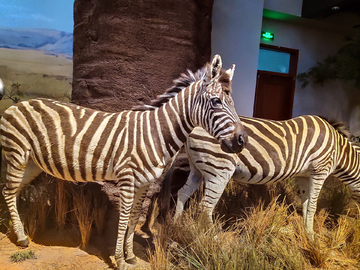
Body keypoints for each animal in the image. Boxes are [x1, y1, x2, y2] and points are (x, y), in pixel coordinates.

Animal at [0, 55, 248, 270]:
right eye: (216, 102)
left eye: (233, 103)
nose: (242, 140)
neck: (155, 134)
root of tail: (16, 105)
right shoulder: (127, 179)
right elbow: (123, 217)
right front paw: (119, 259)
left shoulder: (145, 183)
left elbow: (135, 216)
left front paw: (130, 256)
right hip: (17, 154)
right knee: (9, 190)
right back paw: (21, 238)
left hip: (31, 163)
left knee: (12, 191)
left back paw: (15, 231)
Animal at [172, 115, 360, 237]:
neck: (340, 151)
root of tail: (193, 127)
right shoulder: (319, 171)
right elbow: (313, 205)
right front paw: (311, 235)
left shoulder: (304, 176)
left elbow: (307, 204)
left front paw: (305, 231)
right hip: (219, 169)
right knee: (205, 206)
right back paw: (213, 238)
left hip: (197, 168)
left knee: (183, 192)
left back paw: (175, 225)